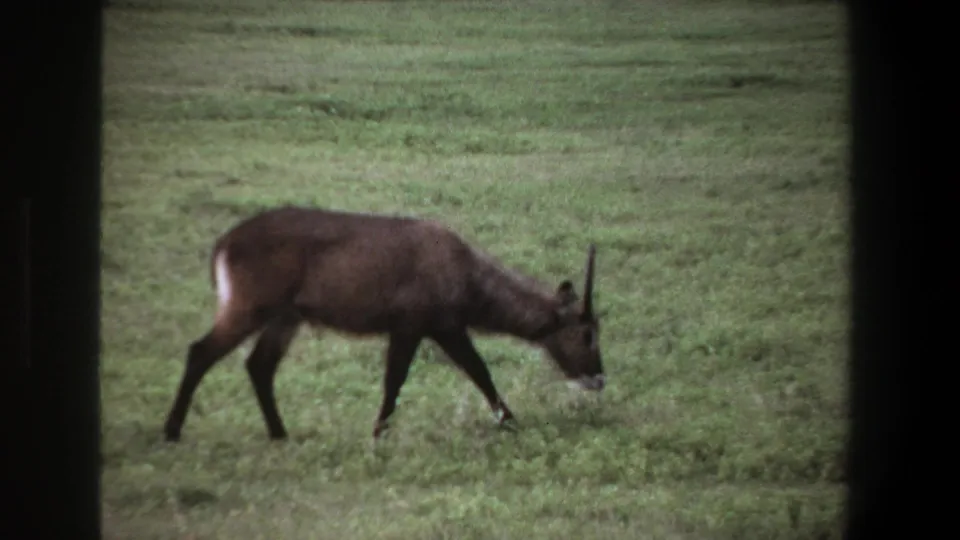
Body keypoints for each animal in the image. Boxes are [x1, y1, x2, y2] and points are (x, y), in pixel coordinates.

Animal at [163, 206, 605, 442]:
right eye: (587, 333)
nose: (599, 378)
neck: (465, 271)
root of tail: (224, 243)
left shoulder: (440, 328)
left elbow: (475, 372)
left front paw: (510, 422)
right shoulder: (418, 325)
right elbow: (408, 378)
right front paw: (378, 434)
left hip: (286, 317)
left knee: (259, 365)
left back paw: (280, 434)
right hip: (251, 308)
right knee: (200, 352)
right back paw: (171, 432)